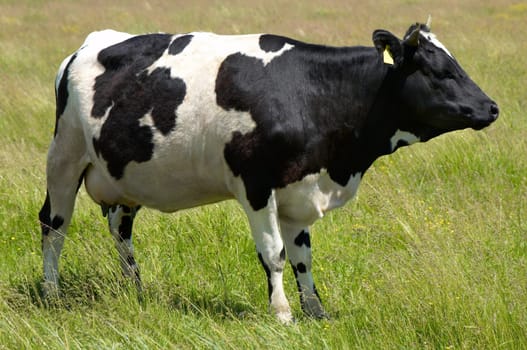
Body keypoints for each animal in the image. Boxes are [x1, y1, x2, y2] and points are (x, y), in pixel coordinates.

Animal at [38, 19, 500, 322]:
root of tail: (92, 43)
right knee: (53, 225)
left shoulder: (300, 189)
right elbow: (274, 254)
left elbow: (303, 258)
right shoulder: (256, 184)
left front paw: (316, 312)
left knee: (120, 230)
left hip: (123, 177)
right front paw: (281, 314)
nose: (491, 107)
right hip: (64, 155)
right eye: (440, 71)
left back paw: (135, 290)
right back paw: (51, 292)